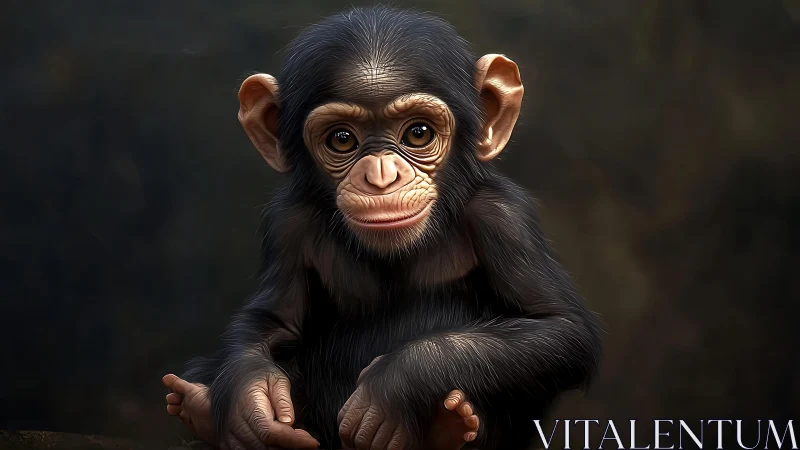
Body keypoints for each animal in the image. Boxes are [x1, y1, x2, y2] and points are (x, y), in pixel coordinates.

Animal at [162, 6, 601, 450]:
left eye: (418, 133)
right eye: (342, 140)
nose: (380, 177)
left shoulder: (504, 219)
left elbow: (559, 328)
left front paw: (395, 384)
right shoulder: (287, 224)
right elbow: (272, 320)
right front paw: (249, 400)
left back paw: (449, 426)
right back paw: (199, 407)